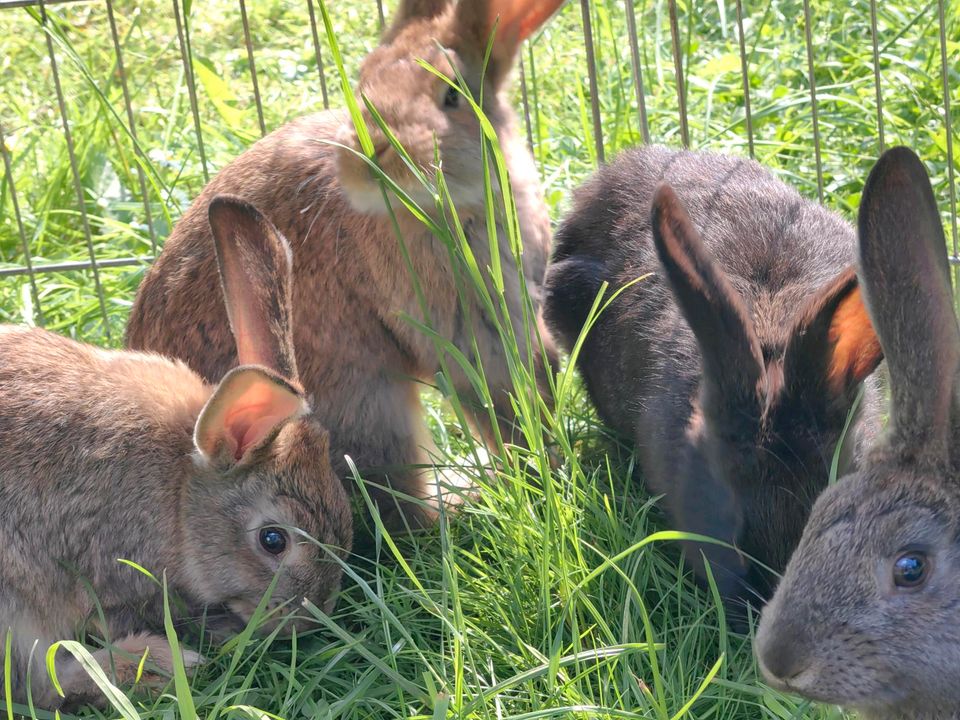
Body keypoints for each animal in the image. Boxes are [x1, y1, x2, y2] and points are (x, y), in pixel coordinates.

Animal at [0, 195, 352, 708]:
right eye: (273, 540)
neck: (182, 490)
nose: (307, 619)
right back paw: (159, 664)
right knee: (40, 682)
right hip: (18, 606)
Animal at [124, 0, 568, 528]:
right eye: (362, 85)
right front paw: (541, 466)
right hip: (371, 411)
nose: (370, 152)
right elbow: (498, 401)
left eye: (453, 95)